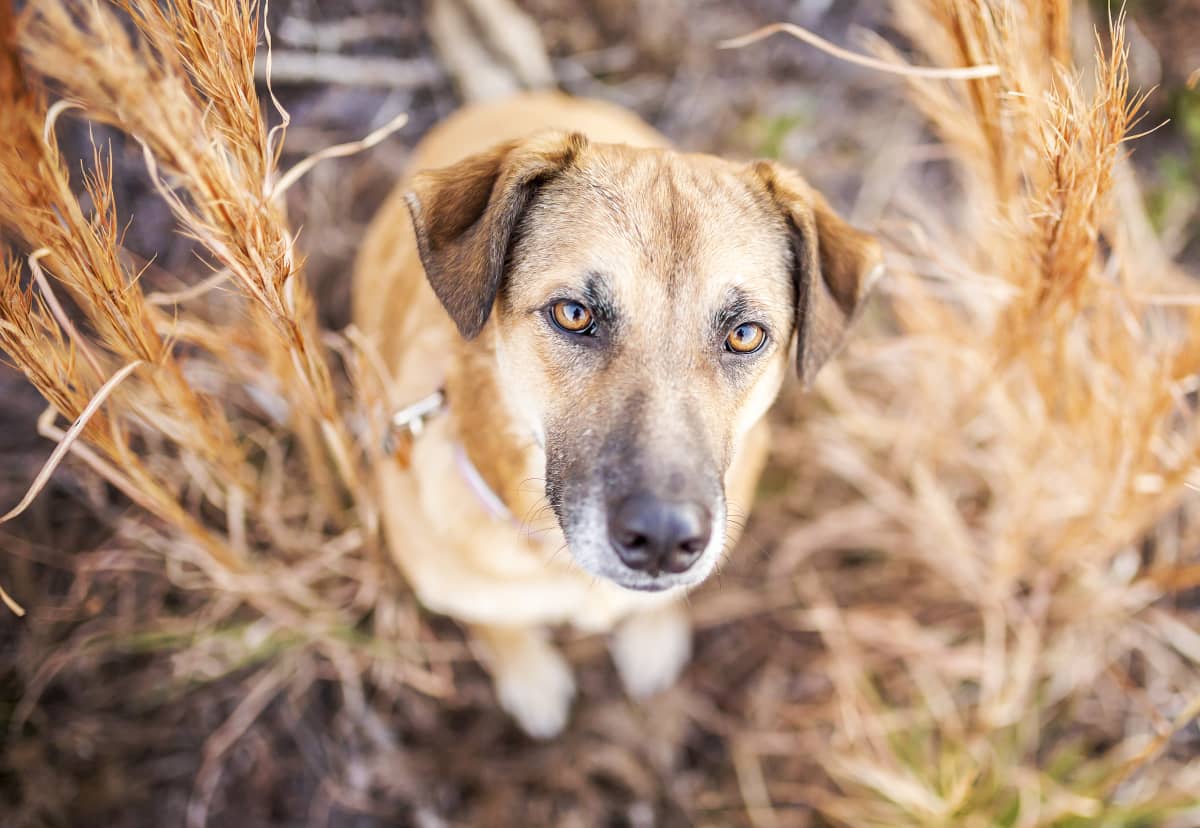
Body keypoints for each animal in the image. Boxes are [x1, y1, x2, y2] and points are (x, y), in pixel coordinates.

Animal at [350, 90, 878, 734]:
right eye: (574, 314)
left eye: (746, 334)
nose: (662, 541)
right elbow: (500, 627)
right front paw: (529, 678)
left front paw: (652, 638)